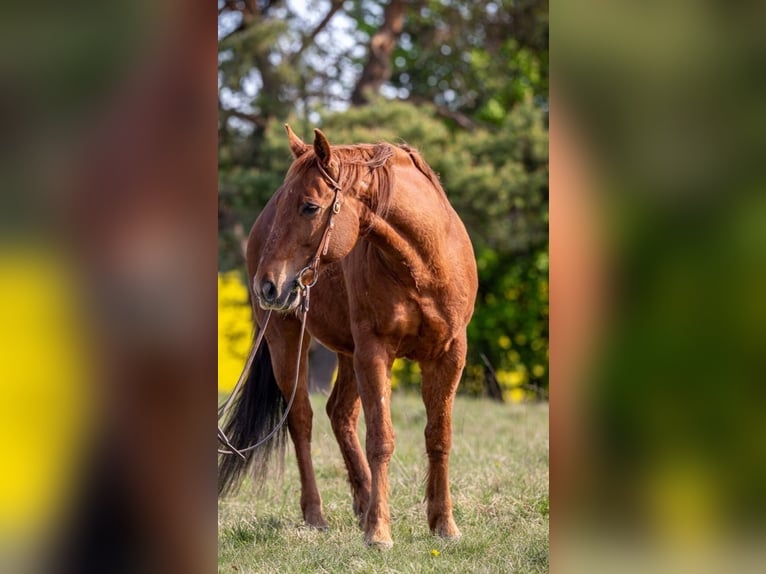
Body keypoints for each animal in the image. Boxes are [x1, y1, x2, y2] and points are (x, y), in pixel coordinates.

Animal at [218, 125, 478, 549]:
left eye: (309, 207)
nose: (266, 285)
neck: (423, 265)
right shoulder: (374, 352)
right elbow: (381, 439)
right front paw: (379, 532)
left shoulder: (449, 354)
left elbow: (438, 437)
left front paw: (443, 525)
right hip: (287, 341)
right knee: (302, 420)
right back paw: (316, 514)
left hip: (347, 353)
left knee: (339, 413)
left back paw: (364, 500)